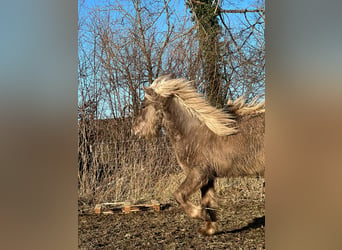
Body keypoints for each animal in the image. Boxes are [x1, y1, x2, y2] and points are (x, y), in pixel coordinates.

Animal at [132, 75, 264, 235]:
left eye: (144, 105)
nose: (135, 130)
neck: (193, 133)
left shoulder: (198, 173)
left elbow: (179, 195)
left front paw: (201, 215)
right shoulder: (208, 178)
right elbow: (207, 201)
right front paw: (208, 228)